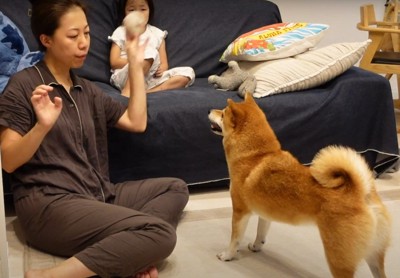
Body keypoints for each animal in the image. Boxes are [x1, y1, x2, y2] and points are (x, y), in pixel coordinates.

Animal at [209, 93, 390, 278]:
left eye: (222, 114)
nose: (210, 110)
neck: (256, 156)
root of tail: (361, 192)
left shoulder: (240, 211)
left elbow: (234, 239)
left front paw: (227, 255)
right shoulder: (265, 212)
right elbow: (261, 233)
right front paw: (256, 246)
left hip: (338, 258)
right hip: (373, 255)